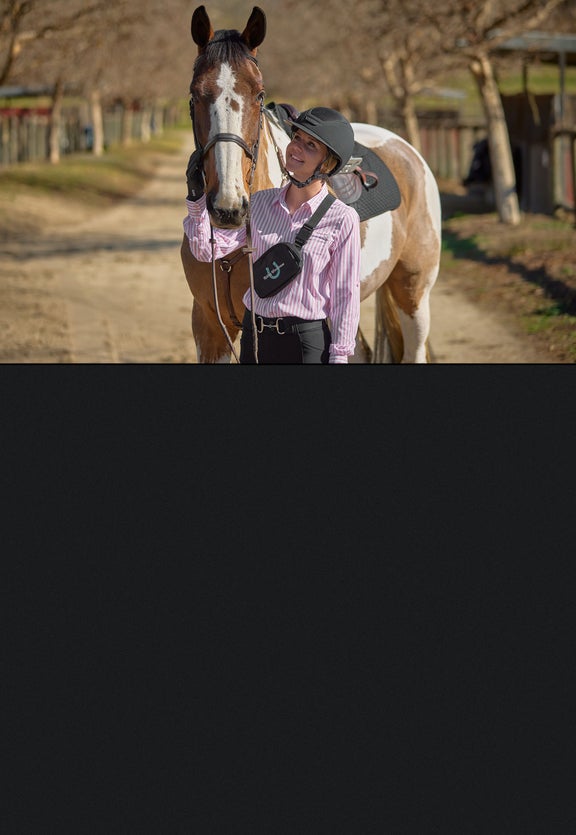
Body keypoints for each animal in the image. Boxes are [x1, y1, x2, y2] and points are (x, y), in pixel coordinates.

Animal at [180, 5, 442, 363]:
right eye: (195, 95)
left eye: (259, 94)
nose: (228, 208)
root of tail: (404, 148)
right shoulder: (210, 329)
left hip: (413, 295)